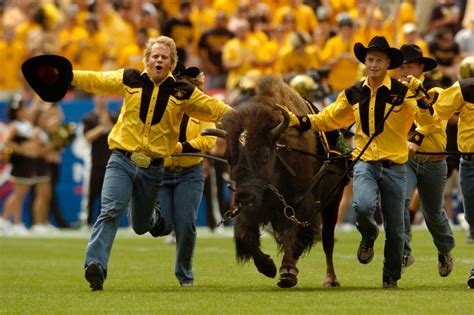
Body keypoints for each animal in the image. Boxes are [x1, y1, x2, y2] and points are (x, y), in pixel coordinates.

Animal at [204, 75, 348, 288]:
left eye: (265, 154)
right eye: (228, 157)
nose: (245, 196)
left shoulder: (298, 207)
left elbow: (291, 233)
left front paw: (287, 273)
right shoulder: (247, 210)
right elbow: (245, 234)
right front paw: (268, 267)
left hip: (333, 201)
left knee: (328, 240)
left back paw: (331, 279)